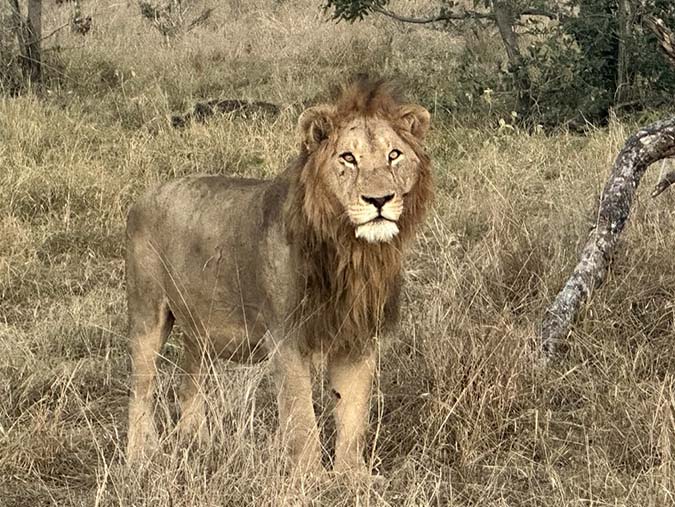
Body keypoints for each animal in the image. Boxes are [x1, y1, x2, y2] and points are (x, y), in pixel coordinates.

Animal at [125, 77, 434, 474]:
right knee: (141, 390)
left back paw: (199, 444)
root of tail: (144, 195)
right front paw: (311, 478)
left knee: (188, 382)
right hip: (147, 314)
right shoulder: (286, 338)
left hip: (199, 327)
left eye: (394, 155)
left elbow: (353, 416)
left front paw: (353, 477)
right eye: (347, 158)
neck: (352, 252)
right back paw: (139, 457)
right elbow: (303, 419)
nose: (378, 200)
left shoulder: (357, 339)